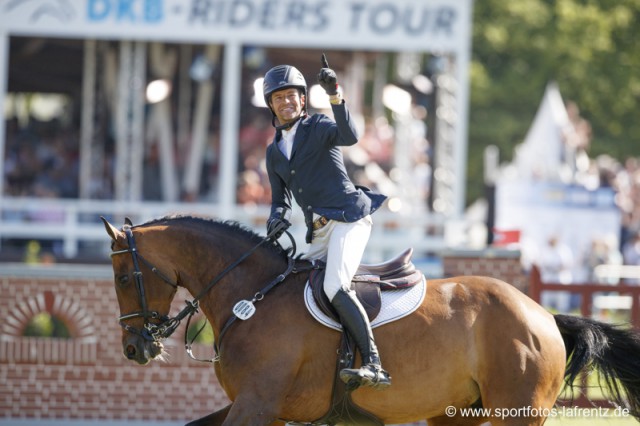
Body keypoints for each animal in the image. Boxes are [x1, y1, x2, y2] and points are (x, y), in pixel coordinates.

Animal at [100, 216, 640, 426]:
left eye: (124, 275)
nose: (134, 348)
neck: (250, 295)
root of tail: (541, 314)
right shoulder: (262, 407)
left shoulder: (257, 404)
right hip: (457, 413)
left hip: (519, 411)